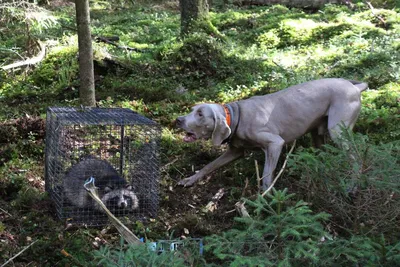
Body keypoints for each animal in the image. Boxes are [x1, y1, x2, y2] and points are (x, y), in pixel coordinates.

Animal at [177, 78, 368, 191]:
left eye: (200, 114)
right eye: (192, 110)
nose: (177, 120)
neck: (237, 115)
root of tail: (354, 86)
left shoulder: (275, 144)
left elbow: (267, 176)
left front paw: (266, 198)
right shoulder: (235, 151)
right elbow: (210, 165)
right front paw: (191, 179)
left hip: (338, 130)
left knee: (357, 158)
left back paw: (352, 185)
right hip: (318, 132)